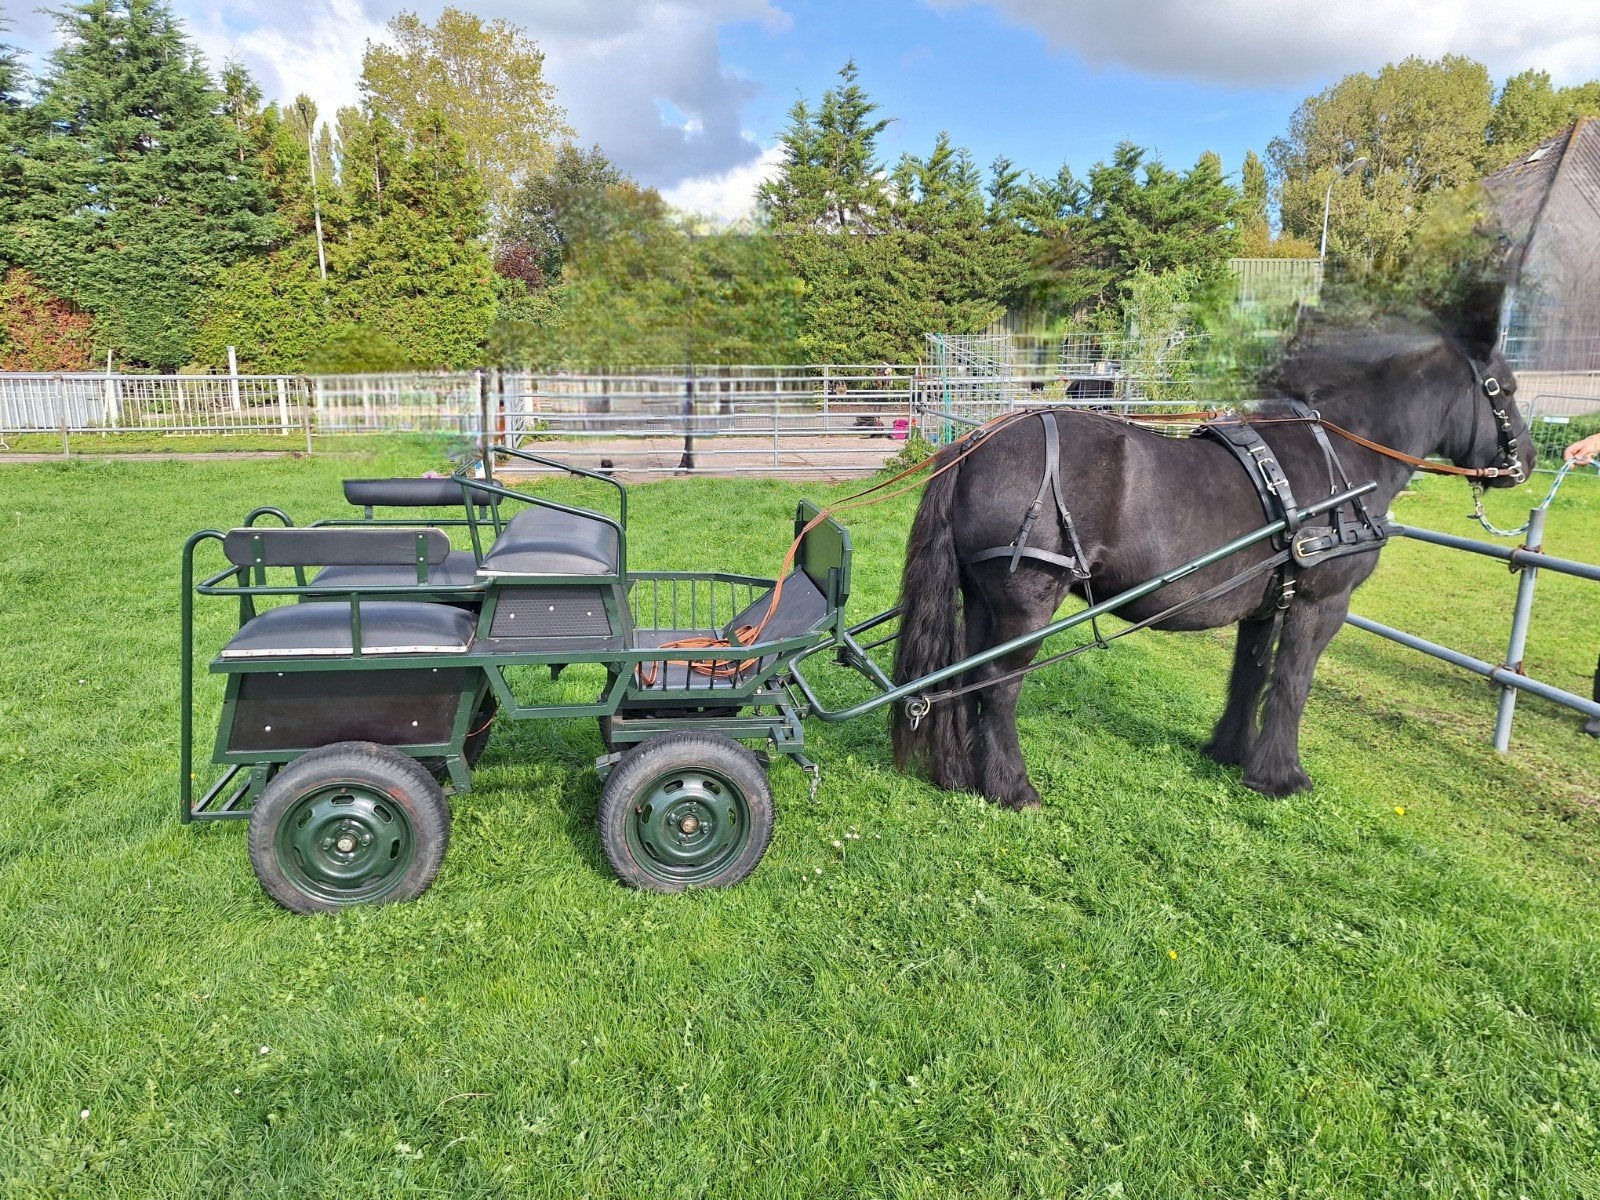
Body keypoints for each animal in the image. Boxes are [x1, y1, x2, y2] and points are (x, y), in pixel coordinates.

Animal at [890, 322, 1535, 809]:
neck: (1345, 459)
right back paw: (1012, 789)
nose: (1525, 461)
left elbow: (1250, 674)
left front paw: (1230, 752)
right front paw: (1281, 777)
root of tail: (976, 443)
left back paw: (961, 774)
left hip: (983, 600)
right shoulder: (1320, 603)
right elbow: (1292, 684)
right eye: (1503, 389)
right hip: (1027, 604)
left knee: (961, 682)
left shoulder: (1267, 603)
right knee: (998, 687)